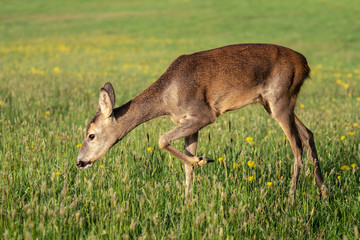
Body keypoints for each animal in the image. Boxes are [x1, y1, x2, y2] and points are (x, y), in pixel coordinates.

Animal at [76, 43, 330, 204]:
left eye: (91, 135)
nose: (80, 162)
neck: (167, 97)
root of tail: (305, 65)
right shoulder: (189, 120)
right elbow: (185, 162)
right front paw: (187, 202)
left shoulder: (204, 114)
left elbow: (161, 139)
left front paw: (203, 160)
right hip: (274, 102)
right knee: (308, 134)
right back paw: (325, 193)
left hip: (279, 98)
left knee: (296, 146)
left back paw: (291, 201)